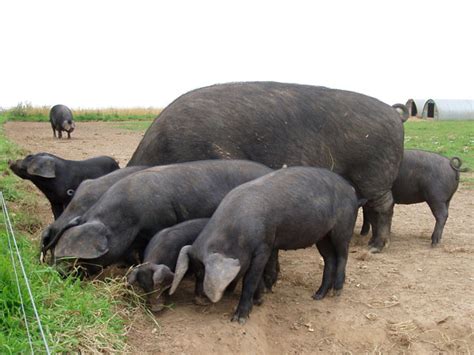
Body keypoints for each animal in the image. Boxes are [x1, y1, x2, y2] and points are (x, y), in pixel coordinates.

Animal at [170, 168, 360, 324]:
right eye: (195, 272)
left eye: (203, 273)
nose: (197, 300)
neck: (237, 233)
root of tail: (351, 190)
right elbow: (258, 277)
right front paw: (259, 301)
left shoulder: (264, 247)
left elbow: (251, 279)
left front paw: (239, 318)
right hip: (322, 236)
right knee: (329, 259)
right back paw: (317, 296)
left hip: (343, 227)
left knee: (343, 255)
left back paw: (337, 292)